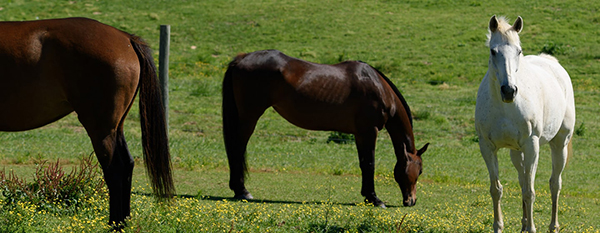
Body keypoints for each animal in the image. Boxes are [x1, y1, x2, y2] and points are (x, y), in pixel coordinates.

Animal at [0, 18, 173, 226]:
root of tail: (126, 38)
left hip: (101, 129)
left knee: (115, 170)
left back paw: (115, 225)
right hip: (116, 128)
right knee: (127, 165)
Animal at [223, 49, 428, 208]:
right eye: (419, 171)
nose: (412, 201)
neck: (378, 86)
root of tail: (243, 58)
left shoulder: (360, 134)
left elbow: (363, 163)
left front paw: (367, 196)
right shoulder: (369, 131)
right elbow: (370, 164)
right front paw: (374, 199)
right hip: (249, 117)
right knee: (237, 148)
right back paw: (242, 190)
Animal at [474, 15, 576, 232]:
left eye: (518, 51)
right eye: (493, 51)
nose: (509, 91)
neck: (505, 107)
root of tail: (551, 62)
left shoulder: (531, 146)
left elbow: (530, 191)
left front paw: (532, 228)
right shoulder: (487, 147)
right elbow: (496, 189)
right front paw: (498, 226)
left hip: (559, 144)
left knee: (555, 184)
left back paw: (553, 226)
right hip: (516, 152)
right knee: (522, 181)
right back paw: (522, 225)